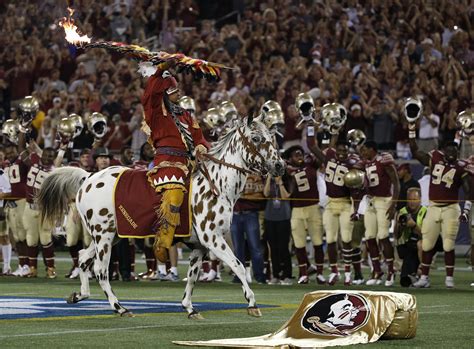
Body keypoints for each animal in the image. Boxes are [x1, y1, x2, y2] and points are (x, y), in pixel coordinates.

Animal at [37, 116, 286, 318]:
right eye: (256, 138)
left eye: (271, 137)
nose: (280, 166)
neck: (217, 184)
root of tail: (88, 177)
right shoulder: (213, 239)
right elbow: (238, 266)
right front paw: (251, 303)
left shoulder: (200, 246)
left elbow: (193, 276)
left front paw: (189, 307)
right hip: (103, 236)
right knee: (99, 270)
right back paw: (120, 308)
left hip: (112, 236)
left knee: (82, 258)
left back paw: (80, 295)